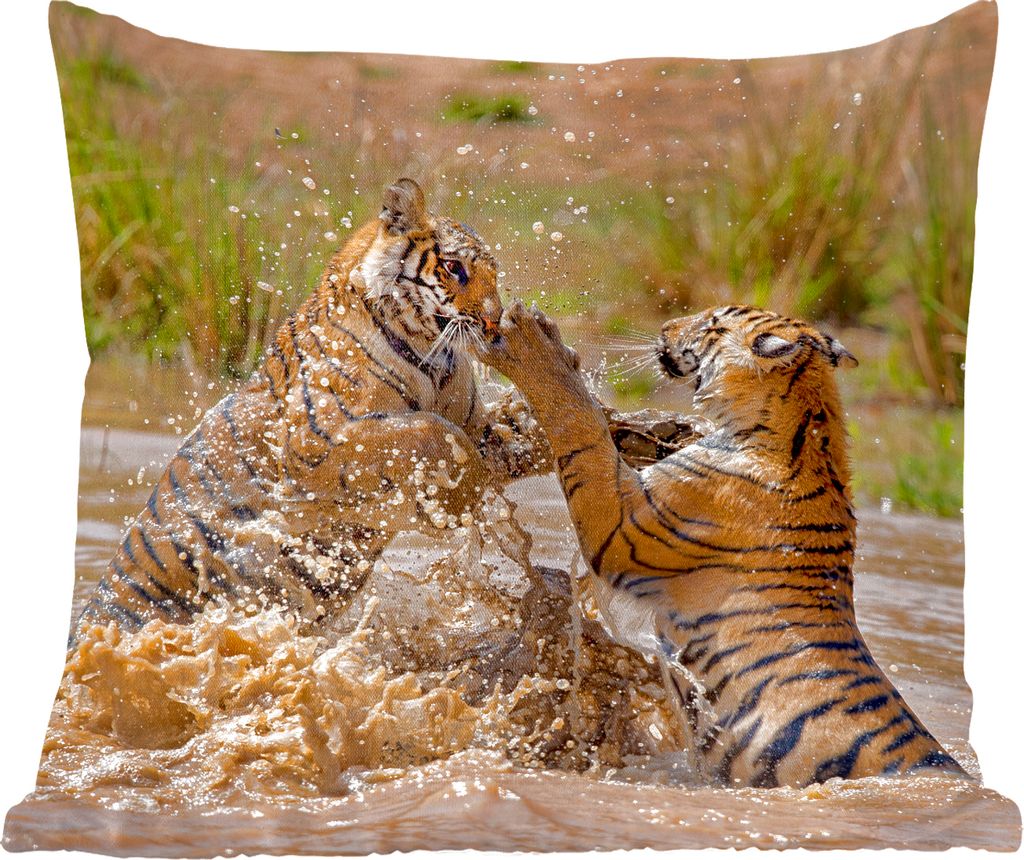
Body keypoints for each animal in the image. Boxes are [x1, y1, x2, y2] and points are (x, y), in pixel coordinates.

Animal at [74, 179, 551, 642]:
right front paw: (461, 499)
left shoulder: (476, 422)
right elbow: (429, 431)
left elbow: (507, 435)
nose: (494, 323)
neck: (433, 359)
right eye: (455, 269)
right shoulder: (315, 442)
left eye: (494, 274)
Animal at [475, 300, 967, 787]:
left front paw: (533, 342)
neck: (802, 429)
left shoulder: (622, 526)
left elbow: (581, 425)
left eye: (712, 322)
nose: (666, 327)